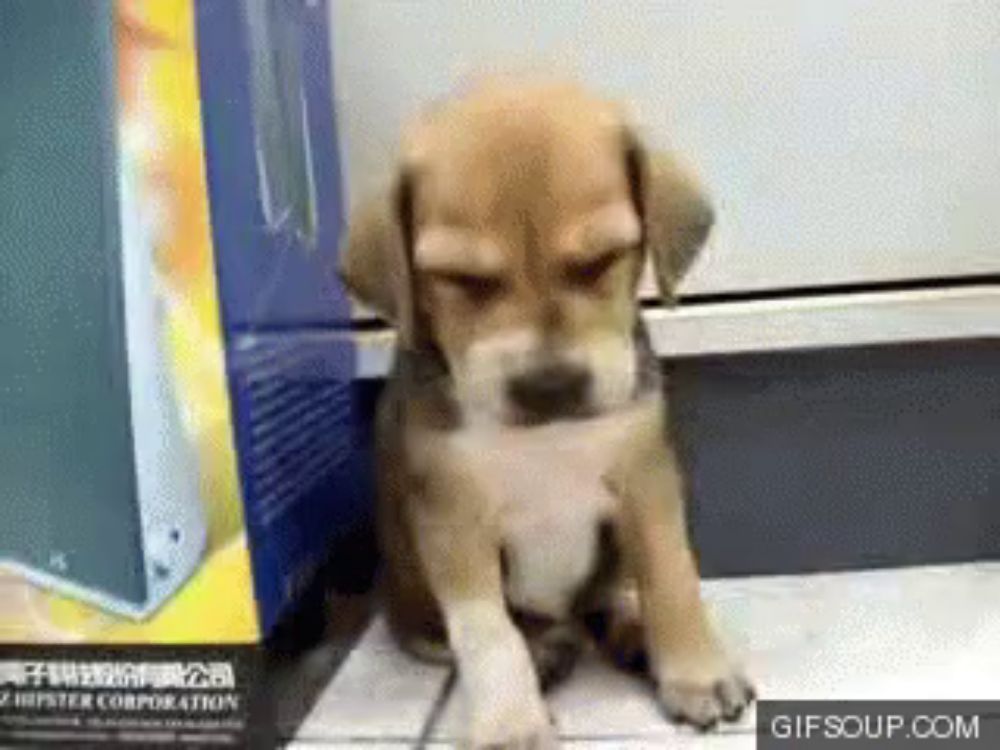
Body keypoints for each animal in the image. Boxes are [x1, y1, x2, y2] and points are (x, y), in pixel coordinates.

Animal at [340, 79, 752, 748]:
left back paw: (632, 632)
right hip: (414, 601)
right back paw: (546, 650)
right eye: (458, 279)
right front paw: (510, 721)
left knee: (608, 598)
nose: (551, 383)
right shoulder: (454, 521)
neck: (545, 440)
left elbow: (672, 579)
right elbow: (487, 635)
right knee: (480, 635)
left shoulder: (645, 486)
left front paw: (695, 671)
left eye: (605, 258)